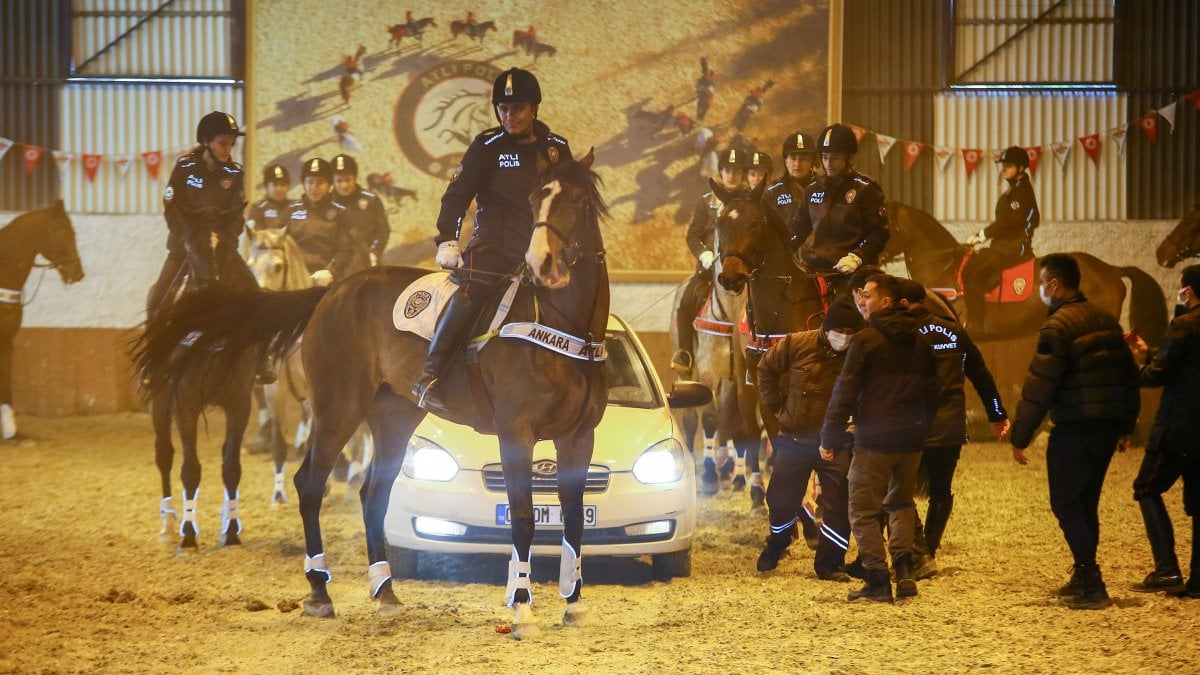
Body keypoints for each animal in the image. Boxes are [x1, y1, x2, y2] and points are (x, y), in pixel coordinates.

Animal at [137, 223, 266, 550]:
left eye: (230, 247)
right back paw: (168, 526)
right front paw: (188, 535)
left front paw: (231, 531)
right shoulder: (185, 402)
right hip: (160, 401)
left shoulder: (240, 402)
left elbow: (231, 467)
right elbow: (190, 469)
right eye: (192, 250)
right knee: (164, 454)